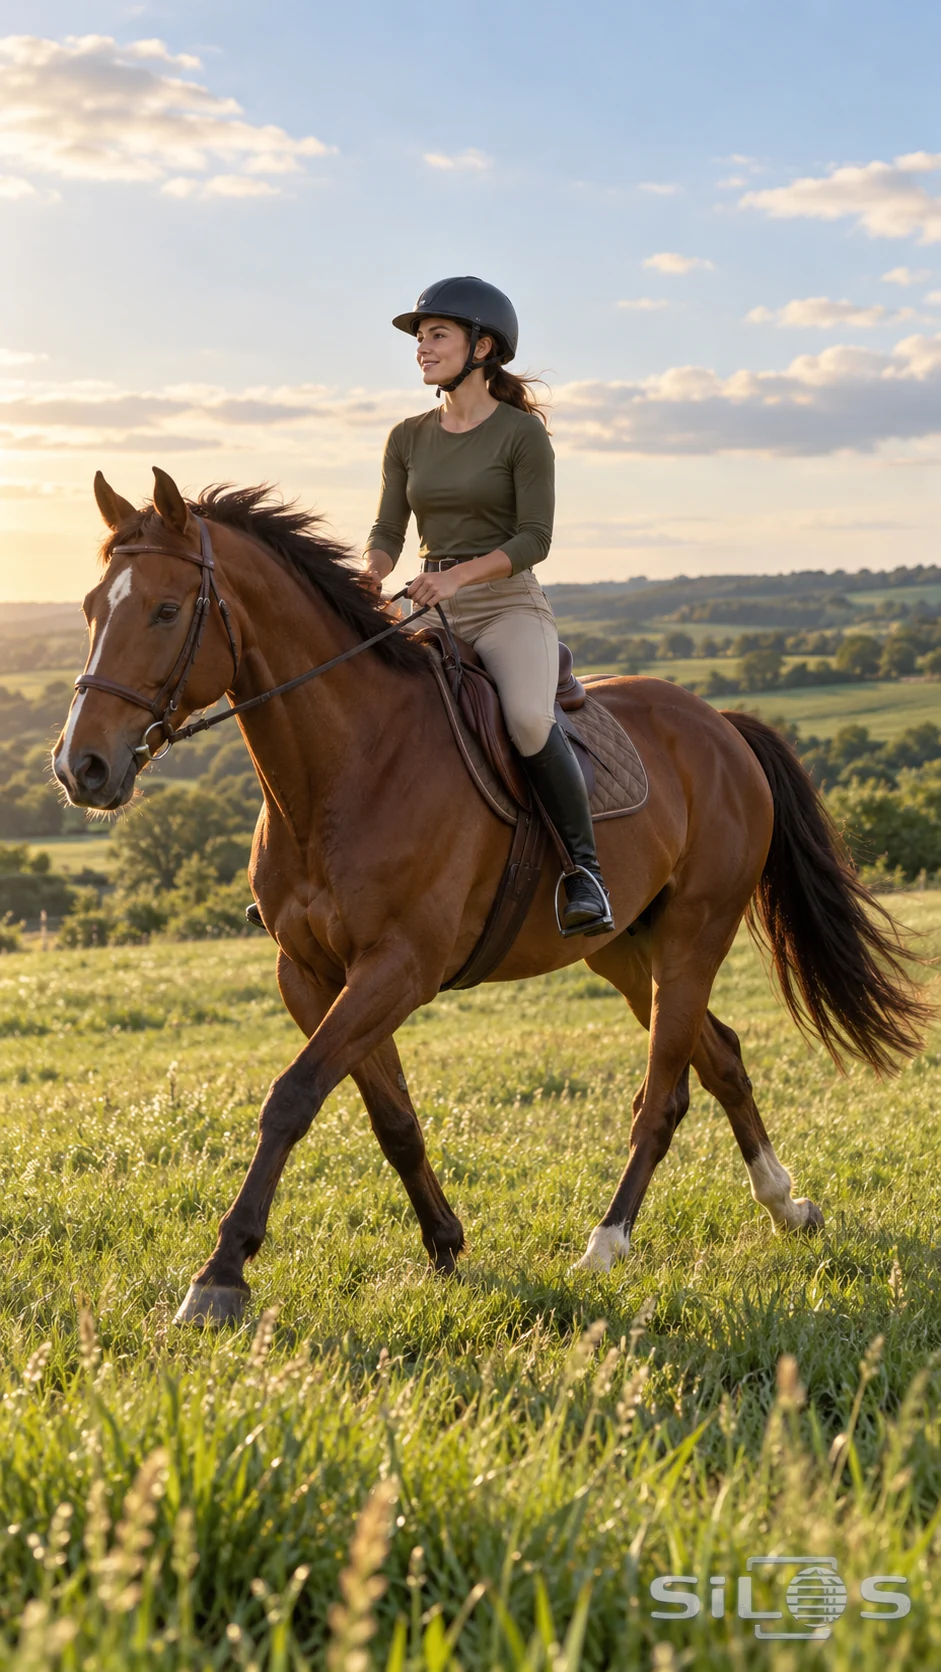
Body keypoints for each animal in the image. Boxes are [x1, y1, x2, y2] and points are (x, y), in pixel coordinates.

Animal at [52, 467, 930, 1326]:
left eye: (166, 610)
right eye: (93, 608)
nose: (80, 768)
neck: (347, 765)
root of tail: (717, 722)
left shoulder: (398, 968)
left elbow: (293, 1097)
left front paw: (221, 1275)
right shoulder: (309, 975)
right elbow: (390, 1114)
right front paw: (443, 1244)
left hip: (692, 936)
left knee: (663, 1091)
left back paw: (607, 1243)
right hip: (624, 950)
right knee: (718, 1058)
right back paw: (785, 1205)